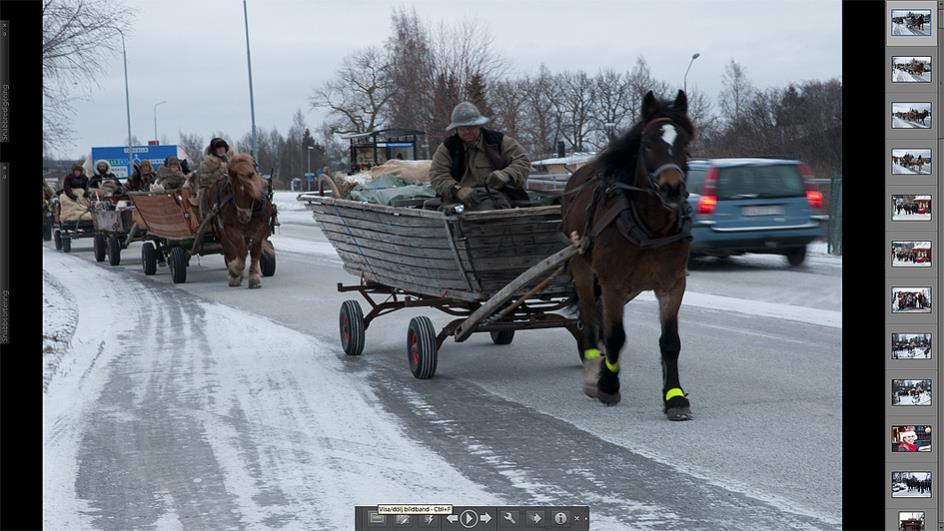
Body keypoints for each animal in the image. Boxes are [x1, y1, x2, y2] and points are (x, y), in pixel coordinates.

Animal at [209, 152, 272, 288]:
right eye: (232, 188)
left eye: (250, 191)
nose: (244, 216)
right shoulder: (230, 228)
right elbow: (241, 251)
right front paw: (234, 271)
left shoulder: (262, 227)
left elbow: (255, 250)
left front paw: (254, 277)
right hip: (221, 229)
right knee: (229, 249)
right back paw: (234, 274)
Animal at [560, 92, 692, 424]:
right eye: (647, 144)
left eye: (685, 143)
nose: (672, 188)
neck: (651, 228)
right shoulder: (613, 284)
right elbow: (616, 336)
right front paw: (607, 384)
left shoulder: (672, 285)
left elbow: (670, 342)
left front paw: (675, 398)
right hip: (582, 269)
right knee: (590, 317)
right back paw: (592, 365)